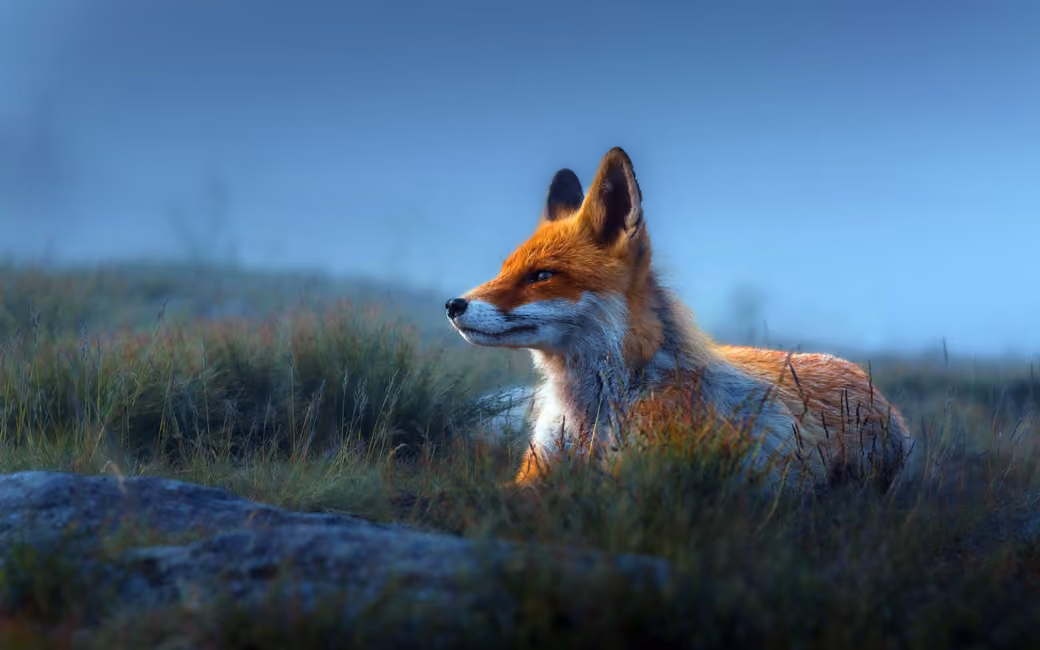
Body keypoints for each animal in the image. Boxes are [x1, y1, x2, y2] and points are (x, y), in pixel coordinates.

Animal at [445, 146, 915, 492]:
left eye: (542, 276)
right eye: (504, 270)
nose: (453, 305)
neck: (592, 416)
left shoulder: (635, 479)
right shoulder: (536, 471)